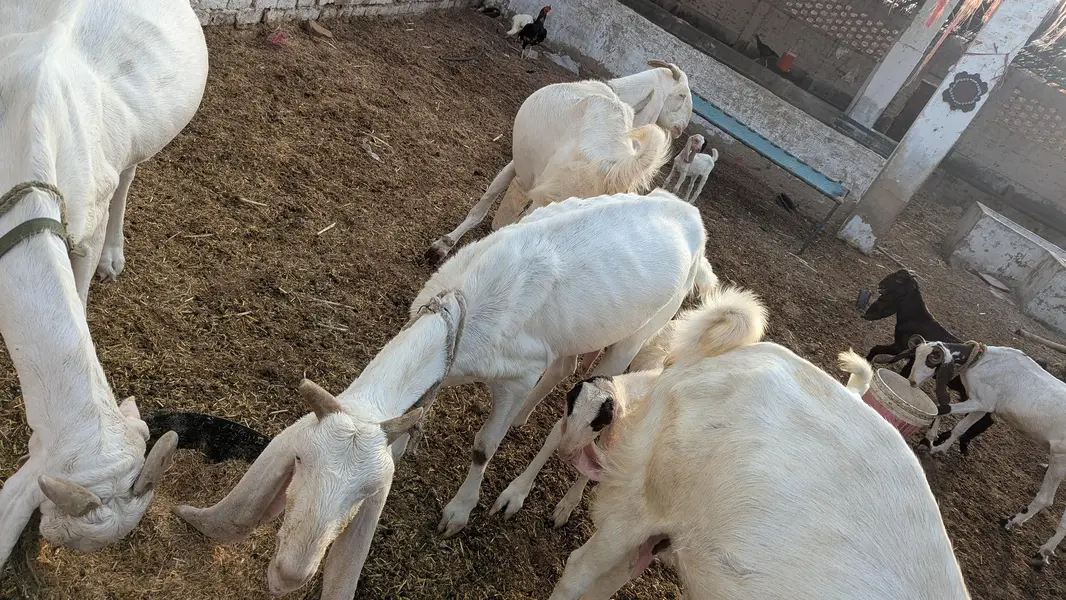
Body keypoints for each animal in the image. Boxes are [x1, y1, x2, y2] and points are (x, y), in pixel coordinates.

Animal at [172, 191, 718, 599]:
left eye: (361, 498)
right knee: (564, 367)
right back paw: (527, 420)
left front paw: (458, 512)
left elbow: (483, 445)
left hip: (639, 334)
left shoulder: (516, 373)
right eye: (301, 464)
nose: (289, 574)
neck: (466, 306)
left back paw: (529, 496)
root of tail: (692, 217)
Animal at [426, 61, 693, 263]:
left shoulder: (517, 165)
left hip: (548, 200)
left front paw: (442, 245)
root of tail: (613, 165)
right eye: (681, 95)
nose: (681, 129)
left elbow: (483, 204)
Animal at [863, 268, 993, 454]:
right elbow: (905, 374)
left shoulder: (899, 346)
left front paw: (866, 362)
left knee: (984, 421)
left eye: (898, 280)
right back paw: (950, 440)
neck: (917, 318)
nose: (881, 284)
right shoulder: (911, 356)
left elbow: (877, 349)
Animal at [912, 340, 1066, 568]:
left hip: (1059, 456)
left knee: (1046, 498)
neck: (982, 360)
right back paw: (1044, 551)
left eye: (931, 360)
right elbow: (959, 427)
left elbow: (941, 407)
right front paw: (939, 449)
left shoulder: (983, 400)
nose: (912, 382)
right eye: (916, 354)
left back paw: (1012, 522)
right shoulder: (982, 404)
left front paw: (929, 439)